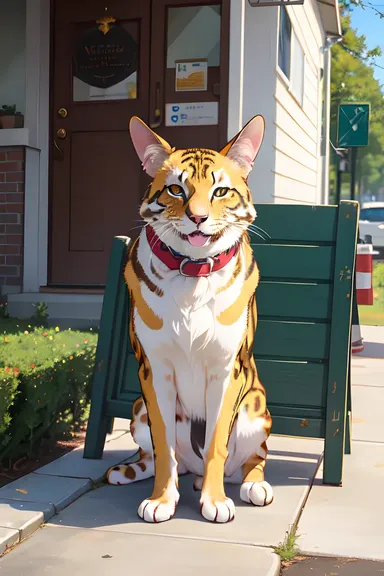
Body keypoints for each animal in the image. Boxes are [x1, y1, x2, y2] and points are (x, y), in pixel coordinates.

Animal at [106, 115, 272, 524]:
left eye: (221, 191)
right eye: (175, 189)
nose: (197, 217)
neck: (193, 273)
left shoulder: (227, 370)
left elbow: (216, 442)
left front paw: (215, 501)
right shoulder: (154, 370)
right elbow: (164, 444)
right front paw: (162, 500)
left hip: (256, 410)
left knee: (253, 458)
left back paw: (252, 485)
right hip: (137, 410)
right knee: (161, 455)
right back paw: (133, 471)